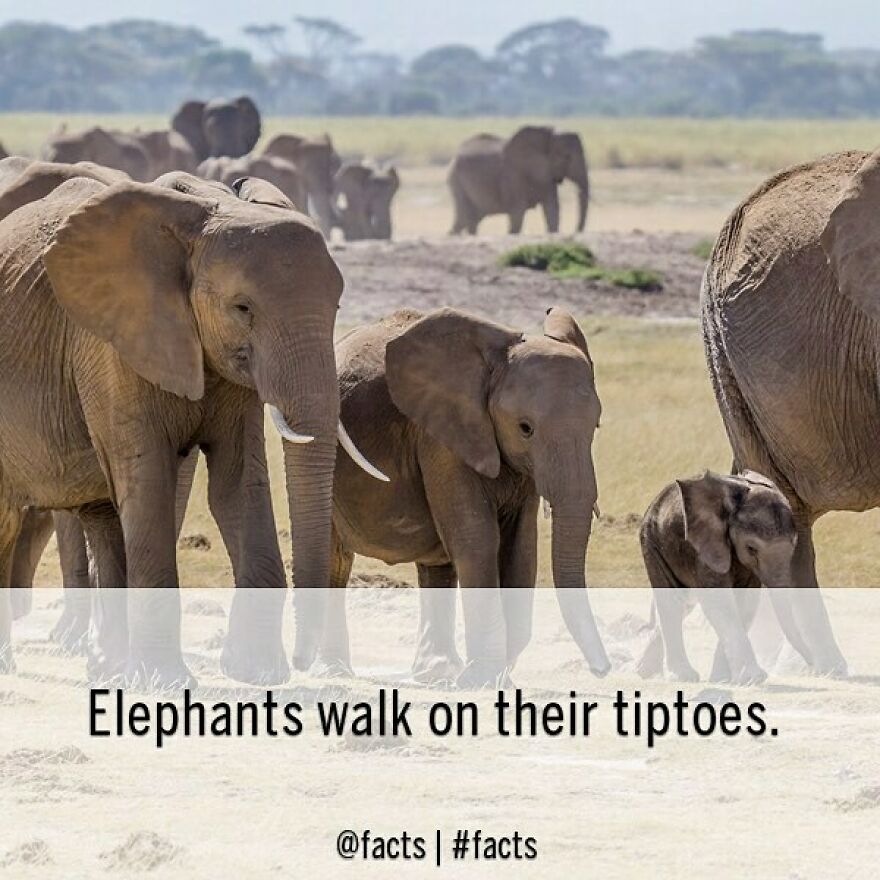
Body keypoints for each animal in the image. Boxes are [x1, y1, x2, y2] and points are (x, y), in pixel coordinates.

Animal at [0, 163, 380, 685]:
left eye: (337, 308)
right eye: (243, 308)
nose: (307, 663)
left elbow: (237, 482)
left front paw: (259, 673)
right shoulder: (110, 344)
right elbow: (147, 479)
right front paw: (166, 682)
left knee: (101, 514)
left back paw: (109, 669)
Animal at [303, 306, 610, 686]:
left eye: (595, 426)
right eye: (525, 428)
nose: (601, 670)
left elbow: (520, 547)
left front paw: (495, 677)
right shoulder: (441, 436)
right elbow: (476, 539)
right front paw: (483, 680)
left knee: (437, 562)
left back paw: (436, 674)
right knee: (336, 558)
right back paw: (334, 670)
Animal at [447, 126, 589, 235]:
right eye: (567, 157)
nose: (576, 231)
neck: (548, 137)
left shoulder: (547, 176)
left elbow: (552, 209)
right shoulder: (513, 175)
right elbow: (517, 212)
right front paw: (512, 233)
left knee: (466, 220)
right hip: (457, 182)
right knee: (466, 218)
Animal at [637, 471, 814, 685]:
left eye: (794, 544)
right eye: (751, 548)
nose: (812, 665)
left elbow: (745, 604)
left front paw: (723, 680)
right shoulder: (707, 547)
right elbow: (720, 602)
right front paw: (754, 678)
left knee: (685, 604)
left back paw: (644, 671)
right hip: (652, 541)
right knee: (672, 602)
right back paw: (682, 676)